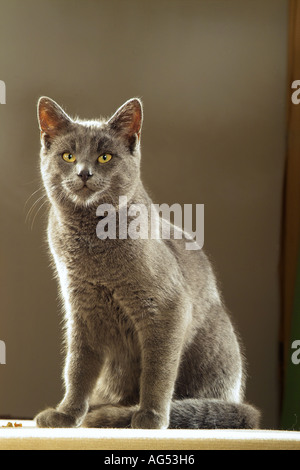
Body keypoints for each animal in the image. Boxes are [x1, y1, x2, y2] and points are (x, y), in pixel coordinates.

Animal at [34, 96, 260, 430]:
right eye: (68, 156)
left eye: (104, 157)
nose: (84, 173)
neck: (93, 242)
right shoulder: (81, 309)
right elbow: (77, 366)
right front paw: (67, 414)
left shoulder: (167, 308)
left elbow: (158, 368)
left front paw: (151, 416)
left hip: (213, 345)